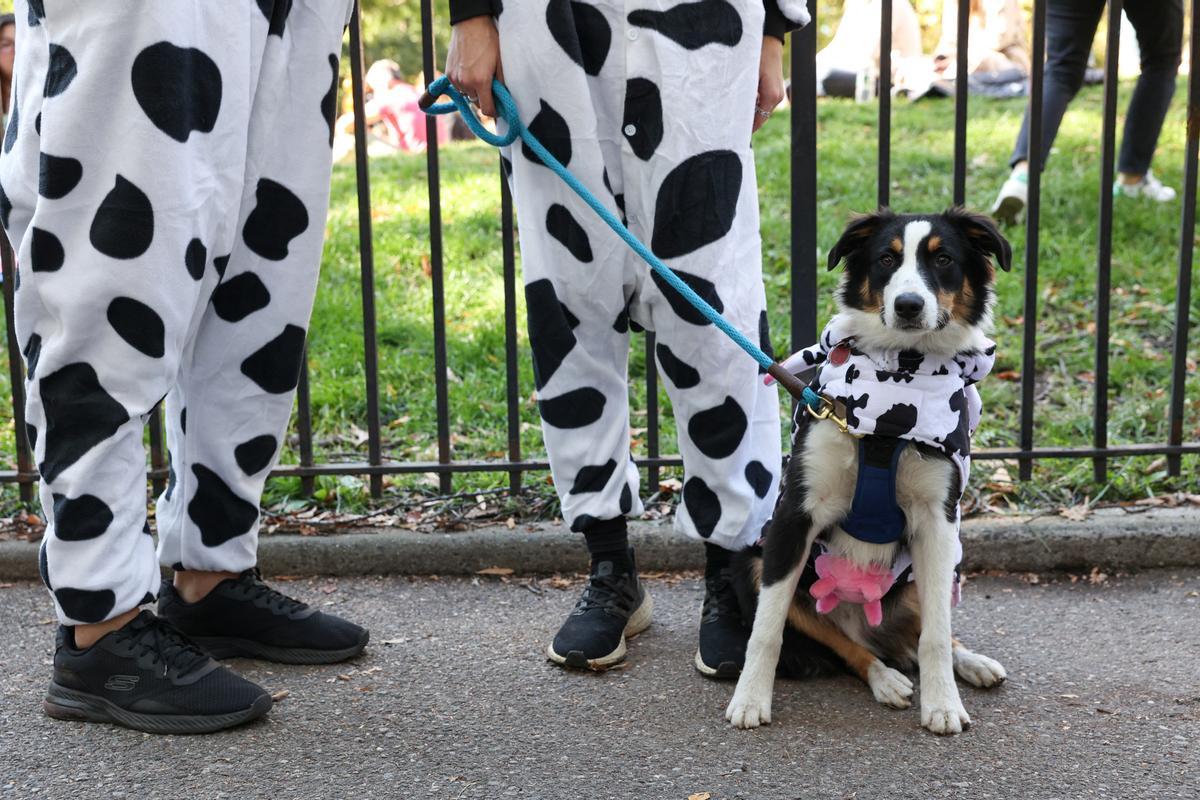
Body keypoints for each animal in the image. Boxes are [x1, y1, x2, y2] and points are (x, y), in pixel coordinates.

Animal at [720, 208, 1012, 738]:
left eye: (944, 258)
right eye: (886, 259)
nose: (909, 305)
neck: (901, 375)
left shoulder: (938, 522)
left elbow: (936, 634)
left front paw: (943, 705)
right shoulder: (796, 514)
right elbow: (767, 630)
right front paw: (749, 699)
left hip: (929, 571)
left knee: (926, 631)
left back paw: (971, 663)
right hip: (752, 562)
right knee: (848, 647)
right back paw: (886, 678)